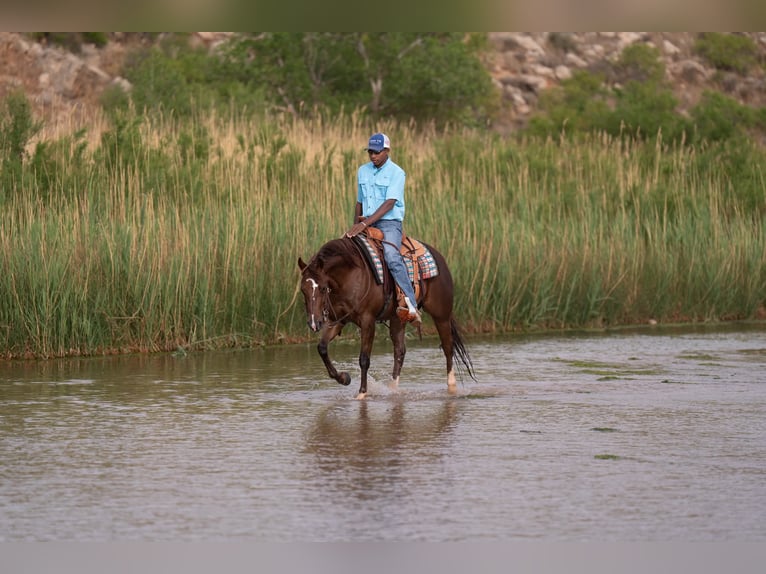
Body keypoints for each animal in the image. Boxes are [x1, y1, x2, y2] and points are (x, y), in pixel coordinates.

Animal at [297, 235, 475, 399]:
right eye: (303, 290)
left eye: (322, 288)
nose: (314, 323)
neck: (350, 275)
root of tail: (438, 257)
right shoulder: (337, 320)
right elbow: (322, 348)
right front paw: (344, 378)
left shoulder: (368, 321)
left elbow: (364, 359)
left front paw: (362, 393)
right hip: (398, 319)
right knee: (400, 351)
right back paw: (393, 388)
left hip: (441, 315)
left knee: (448, 347)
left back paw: (451, 387)